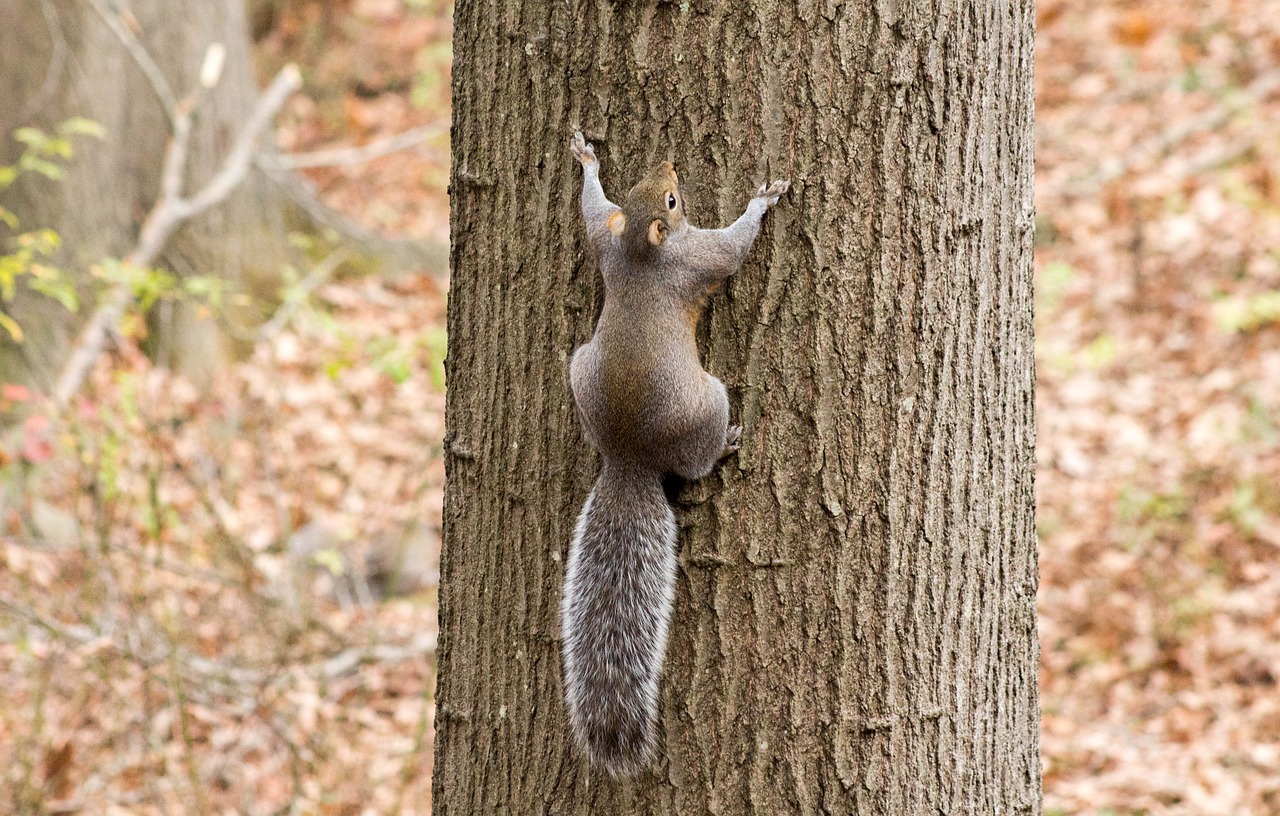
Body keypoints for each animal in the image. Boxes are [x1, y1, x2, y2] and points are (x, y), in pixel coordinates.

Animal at [563, 131, 788, 782]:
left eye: (646, 183)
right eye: (669, 197)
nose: (669, 161)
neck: (641, 249)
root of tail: (629, 458)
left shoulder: (605, 244)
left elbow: (591, 213)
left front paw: (587, 161)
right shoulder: (696, 257)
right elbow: (732, 248)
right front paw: (762, 200)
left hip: (578, 369)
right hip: (706, 403)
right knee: (696, 463)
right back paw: (728, 444)